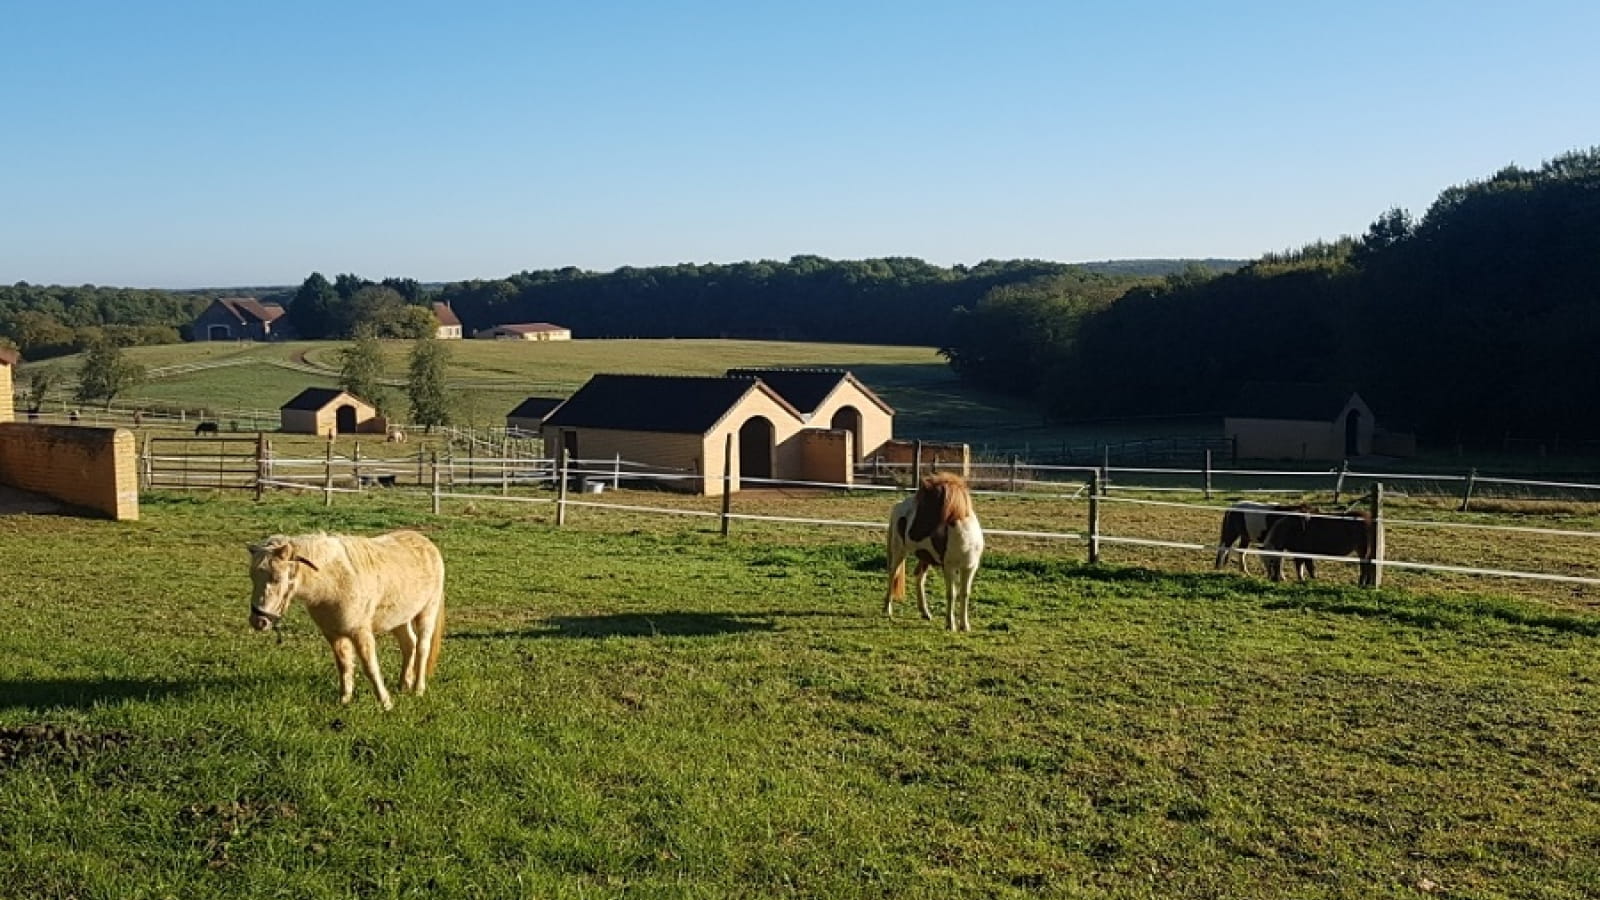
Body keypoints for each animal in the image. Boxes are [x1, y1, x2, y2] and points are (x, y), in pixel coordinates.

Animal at [249, 525, 451, 707]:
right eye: (252, 577)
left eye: (277, 578)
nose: (258, 621)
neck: (333, 584)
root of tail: (427, 544)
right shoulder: (334, 634)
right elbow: (344, 665)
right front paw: (344, 700)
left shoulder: (360, 632)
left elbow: (370, 667)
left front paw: (385, 703)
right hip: (399, 619)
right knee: (409, 644)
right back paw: (403, 685)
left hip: (427, 611)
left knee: (422, 648)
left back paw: (418, 689)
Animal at [883, 470, 979, 630]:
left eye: (924, 500)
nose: (912, 531)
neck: (964, 535)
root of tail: (898, 506)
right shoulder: (949, 567)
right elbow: (951, 593)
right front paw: (950, 624)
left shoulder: (970, 567)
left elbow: (965, 593)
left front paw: (964, 626)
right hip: (899, 551)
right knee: (893, 574)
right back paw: (887, 610)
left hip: (924, 558)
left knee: (919, 577)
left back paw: (925, 613)